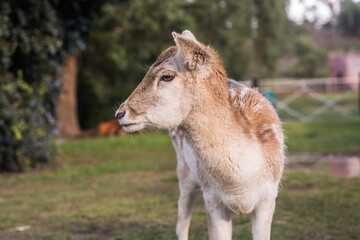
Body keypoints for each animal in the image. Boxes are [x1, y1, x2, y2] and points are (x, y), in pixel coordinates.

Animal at [115, 30, 284, 240]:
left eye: (167, 75)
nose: (120, 113)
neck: (241, 184)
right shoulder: (215, 198)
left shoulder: (269, 198)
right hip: (186, 173)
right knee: (181, 223)